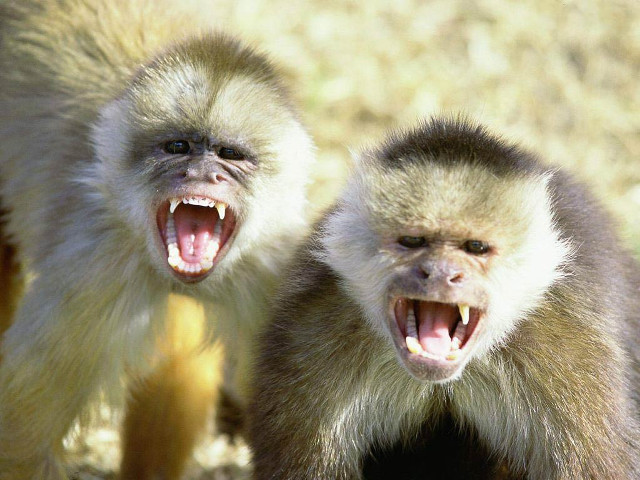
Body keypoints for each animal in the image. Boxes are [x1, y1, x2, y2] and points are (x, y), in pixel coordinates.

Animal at [0, 1, 314, 478]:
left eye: (229, 155)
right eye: (178, 147)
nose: (200, 173)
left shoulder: (276, 269)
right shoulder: (94, 270)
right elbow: (21, 436)